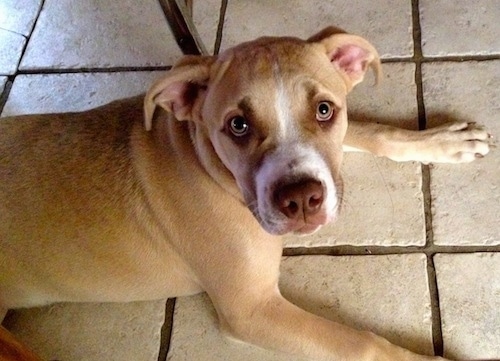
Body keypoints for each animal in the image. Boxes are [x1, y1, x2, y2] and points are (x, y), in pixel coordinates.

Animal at [0, 26, 492, 358]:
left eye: (325, 110)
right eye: (237, 125)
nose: (302, 200)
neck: (205, 162)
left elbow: (374, 131)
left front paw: (444, 142)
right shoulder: (249, 309)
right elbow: (364, 344)